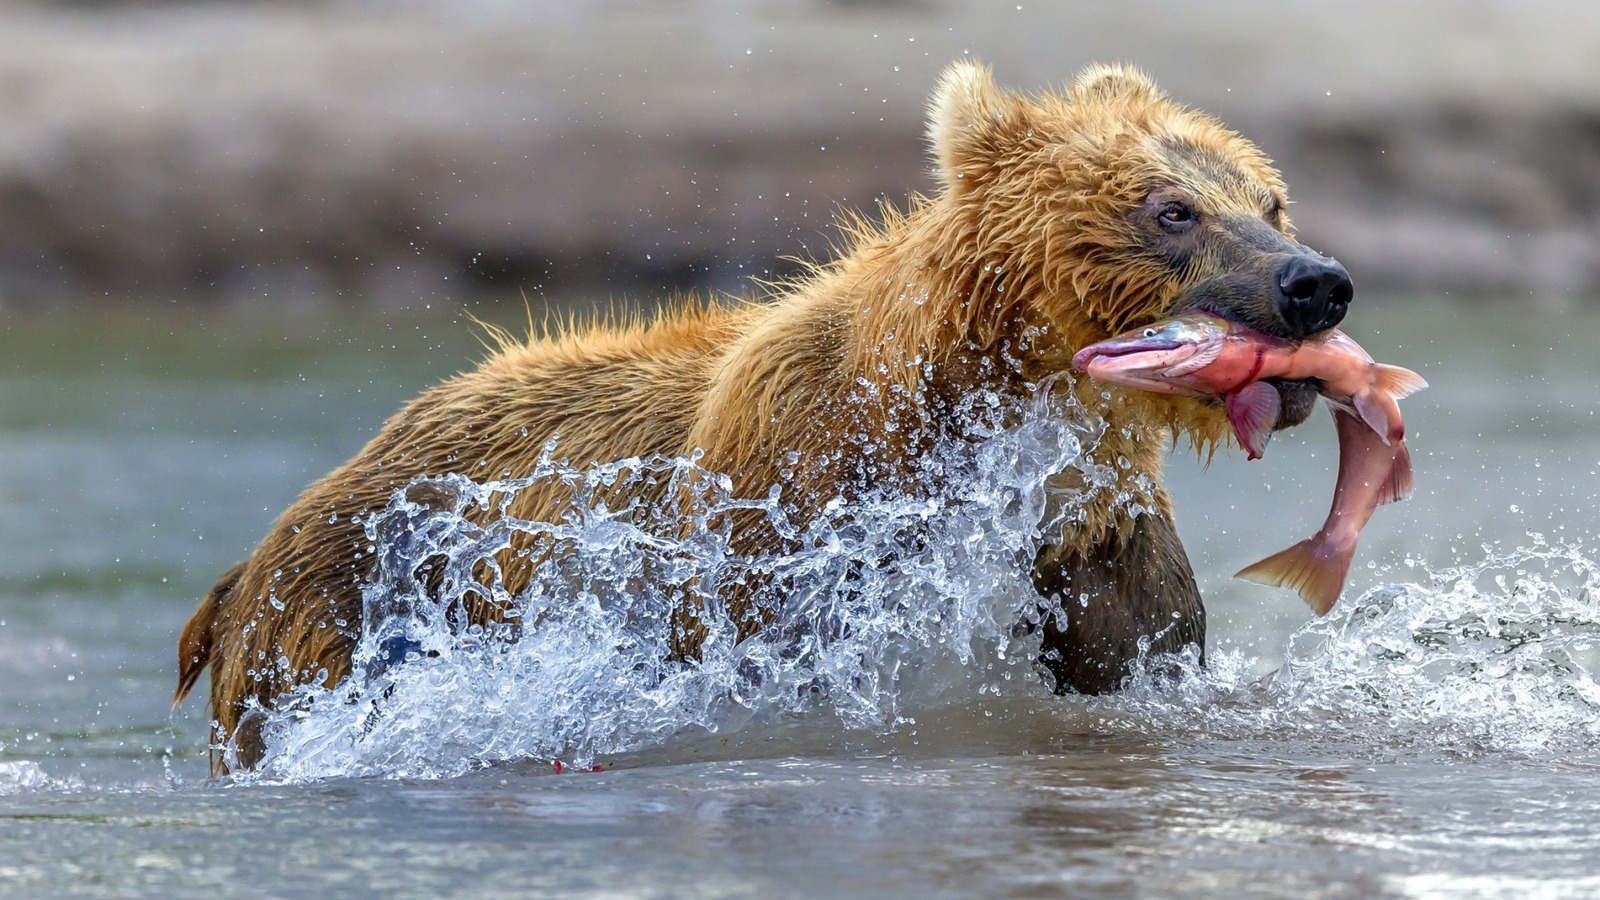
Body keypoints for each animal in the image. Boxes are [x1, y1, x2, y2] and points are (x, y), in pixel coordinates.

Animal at [175, 59, 1350, 768]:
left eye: (1269, 197)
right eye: (1172, 208)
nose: (1314, 283)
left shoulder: (1092, 534)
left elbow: (1137, 655)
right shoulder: (793, 509)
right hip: (339, 620)